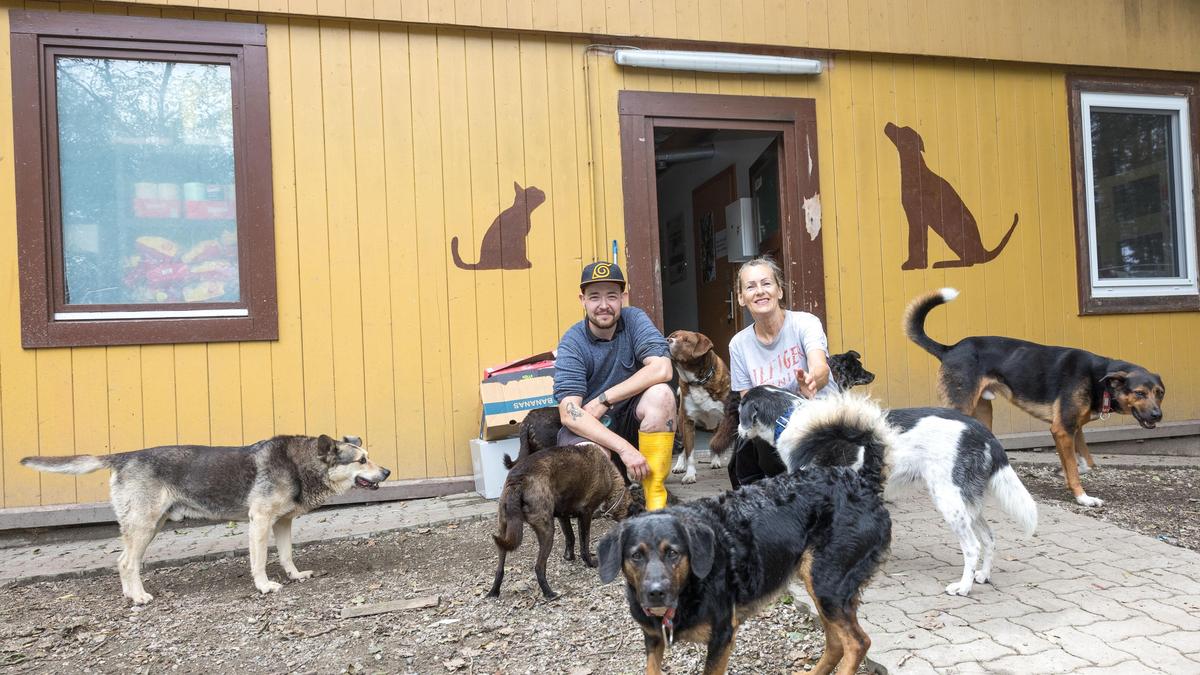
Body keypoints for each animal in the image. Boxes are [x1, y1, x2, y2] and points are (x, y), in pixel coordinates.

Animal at [22, 437, 388, 605]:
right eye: (361, 460)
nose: (386, 471)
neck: (301, 464)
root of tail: (123, 456)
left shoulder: (282, 523)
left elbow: (286, 556)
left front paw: (295, 576)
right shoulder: (260, 521)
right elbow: (260, 560)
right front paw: (264, 585)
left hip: (150, 527)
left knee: (124, 561)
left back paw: (131, 594)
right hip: (144, 525)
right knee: (126, 562)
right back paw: (139, 597)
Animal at [487, 444, 638, 595]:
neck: (610, 477)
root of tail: (518, 480)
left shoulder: (562, 515)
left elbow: (570, 537)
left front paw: (569, 557)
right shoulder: (586, 514)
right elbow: (584, 544)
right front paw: (590, 563)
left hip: (503, 531)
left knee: (500, 566)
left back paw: (494, 591)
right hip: (547, 530)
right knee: (539, 566)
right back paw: (549, 593)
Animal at [600, 393, 892, 672]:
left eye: (673, 553)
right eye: (635, 556)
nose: (656, 592)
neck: (688, 585)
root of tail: (863, 481)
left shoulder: (722, 635)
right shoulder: (653, 638)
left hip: (826, 583)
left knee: (857, 642)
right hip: (823, 588)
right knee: (836, 642)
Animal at [734, 384, 1036, 593]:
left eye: (740, 412)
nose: (736, 432)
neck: (788, 418)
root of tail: (981, 430)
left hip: (949, 501)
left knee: (972, 546)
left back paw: (963, 587)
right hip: (968, 502)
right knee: (989, 537)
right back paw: (982, 576)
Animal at [907, 284, 1161, 504]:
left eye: (1160, 393)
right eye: (1139, 393)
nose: (1158, 415)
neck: (1097, 377)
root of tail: (949, 349)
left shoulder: (1074, 428)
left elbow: (1086, 463)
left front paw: (1062, 472)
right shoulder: (1062, 429)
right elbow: (1075, 469)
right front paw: (1082, 497)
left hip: (983, 413)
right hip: (961, 407)